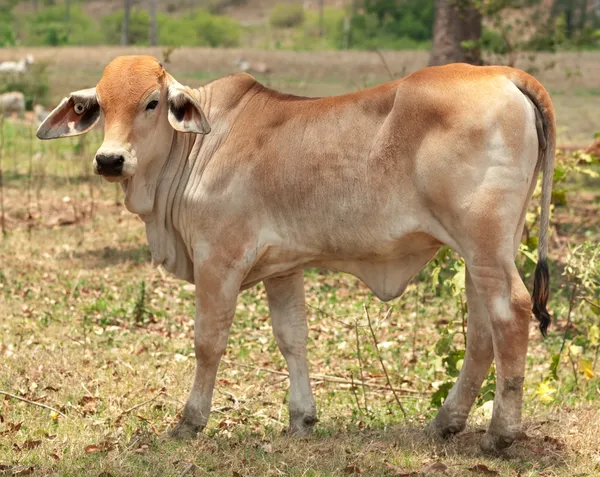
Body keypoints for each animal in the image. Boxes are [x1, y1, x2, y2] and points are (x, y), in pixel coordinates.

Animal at [36, 54, 552, 452]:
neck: (196, 147)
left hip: (483, 243)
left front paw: (190, 420)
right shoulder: (282, 267)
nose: (110, 160)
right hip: (486, 249)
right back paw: (447, 422)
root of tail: (505, 74)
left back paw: (501, 434)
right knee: (482, 331)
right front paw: (301, 418)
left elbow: (208, 342)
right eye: (100, 106)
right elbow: (292, 338)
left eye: (151, 103)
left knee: (511, 313)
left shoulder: (218, 261)